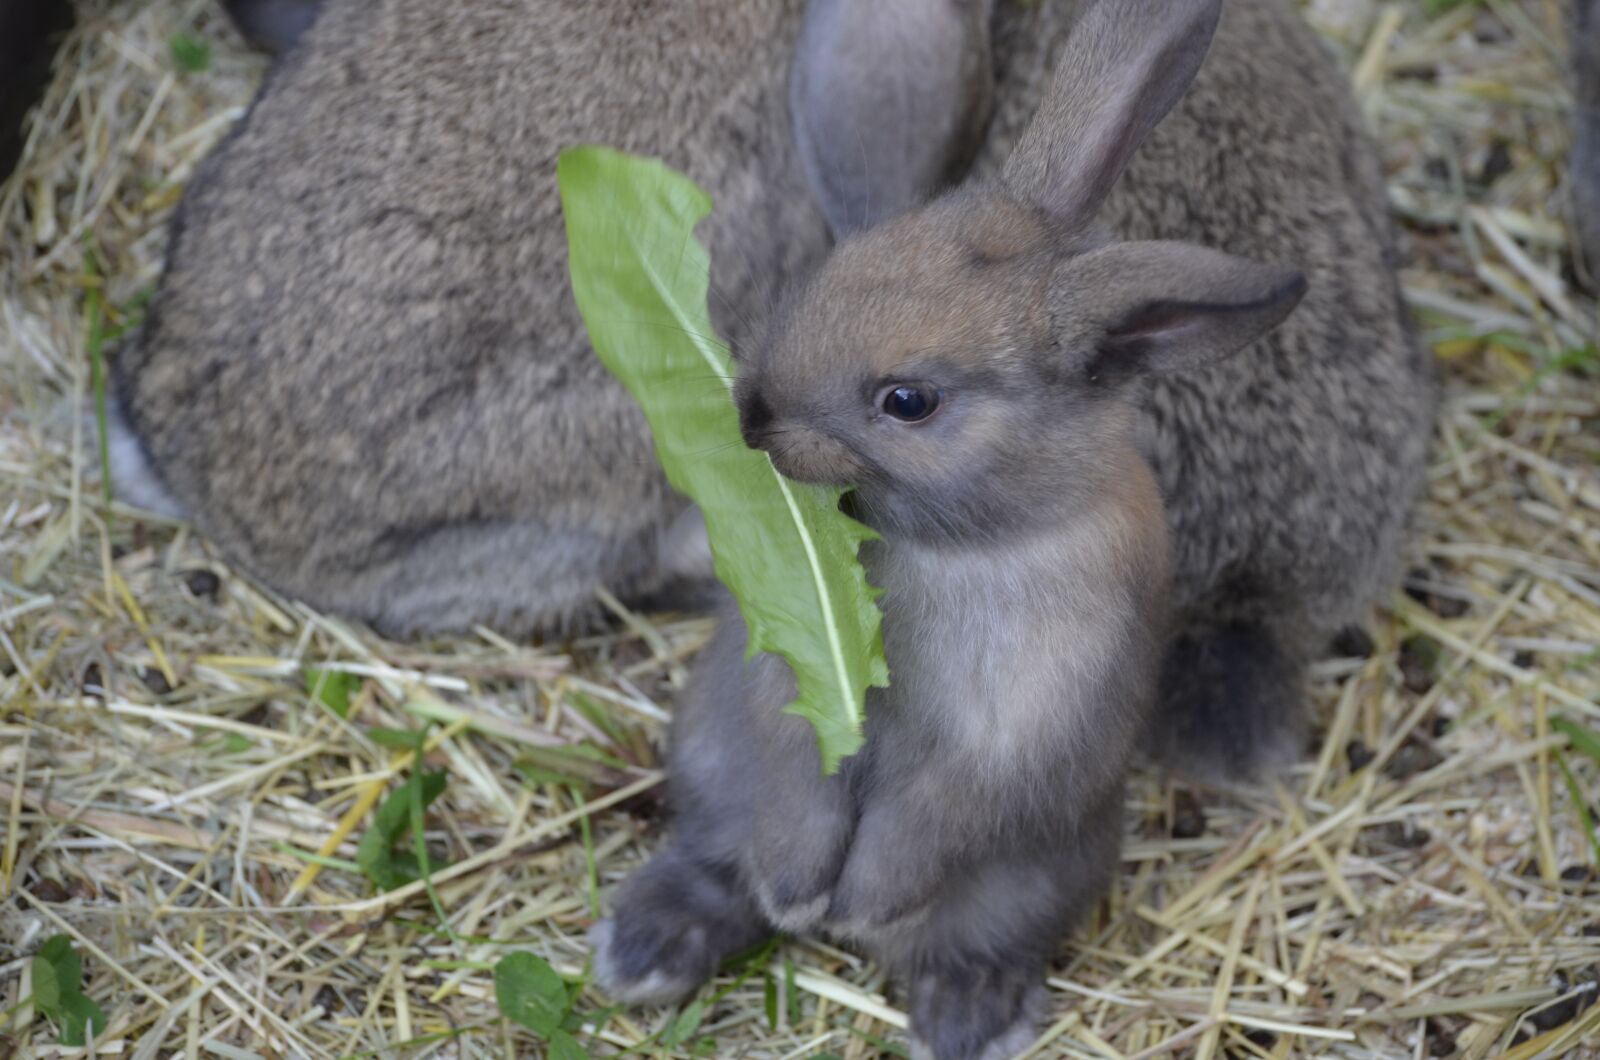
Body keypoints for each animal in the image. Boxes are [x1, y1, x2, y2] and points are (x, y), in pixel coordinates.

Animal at [590, 3, 1311, 1055]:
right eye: (832, 270)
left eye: (909, 401)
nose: (753, 415)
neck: (966, 541)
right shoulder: (794, 698)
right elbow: (804, 777)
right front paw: (801, 891)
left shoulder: (1008, 733)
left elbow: (930, 815)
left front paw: (855, 906)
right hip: (710, 768)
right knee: (719, 872)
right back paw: (645, 950)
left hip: (1037, 878)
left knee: (971, 945)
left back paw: (964, 1016)